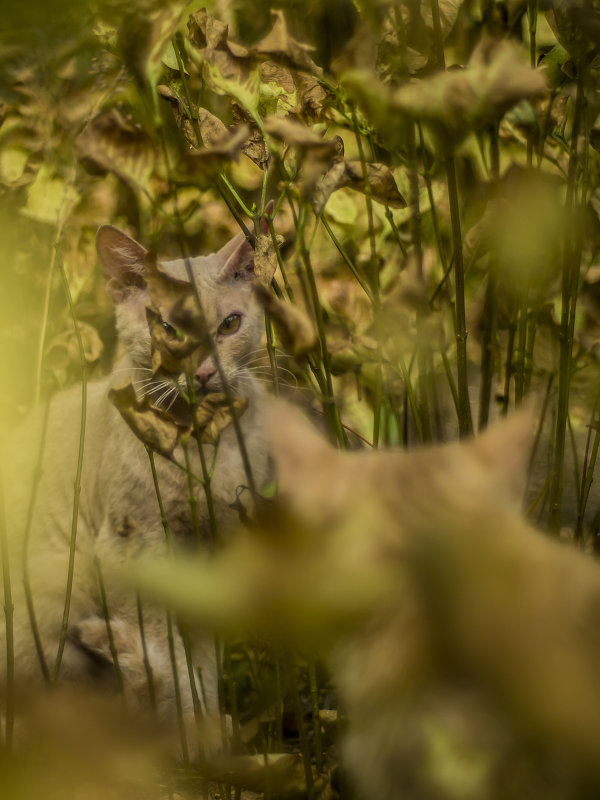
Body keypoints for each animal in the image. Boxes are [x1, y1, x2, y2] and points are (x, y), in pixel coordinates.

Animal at [0, 222, 268, 748]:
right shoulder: (132, 553)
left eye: (229, 325)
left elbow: (200, 658)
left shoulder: (205, 559)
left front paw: (208, 727)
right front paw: (190, 733)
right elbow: (168, 653)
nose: (204, 371)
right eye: (168, 329)